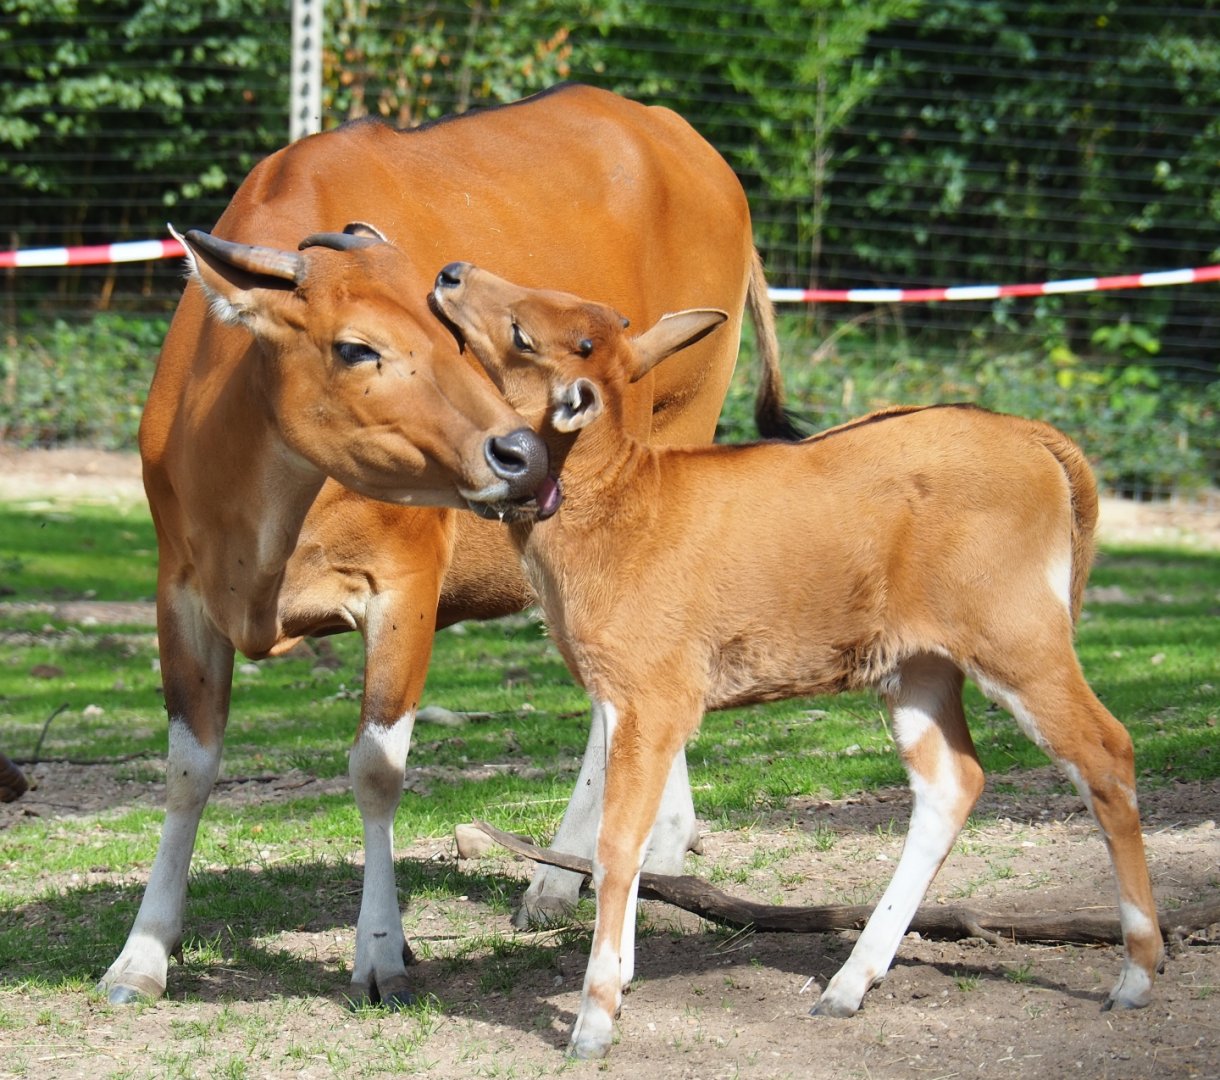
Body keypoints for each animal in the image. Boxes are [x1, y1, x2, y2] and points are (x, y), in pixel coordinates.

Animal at [99, 84, 793, 1010]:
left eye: (454, 338)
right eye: (356, 346)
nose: (520, 454)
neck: (263, 501)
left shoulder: (403, 583)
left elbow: (376, 767)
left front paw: (381, 950)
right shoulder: (180, 588)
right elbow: (187, 768)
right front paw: (143, 953)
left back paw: (558, 879)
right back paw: (658, 839)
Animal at [429, 262, 1164, 1060]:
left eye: (527, 335)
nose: (452, 273)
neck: (623, 505)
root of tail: (1035, 437)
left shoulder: (655, 697)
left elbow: (617, 844)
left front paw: (595, 1017)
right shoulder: (631, 698)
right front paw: (618, 982)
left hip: (1018, 637)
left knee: (1106, 749)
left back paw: (1136, 975)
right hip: (917, 667)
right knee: (954, 782)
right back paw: (848, 986)